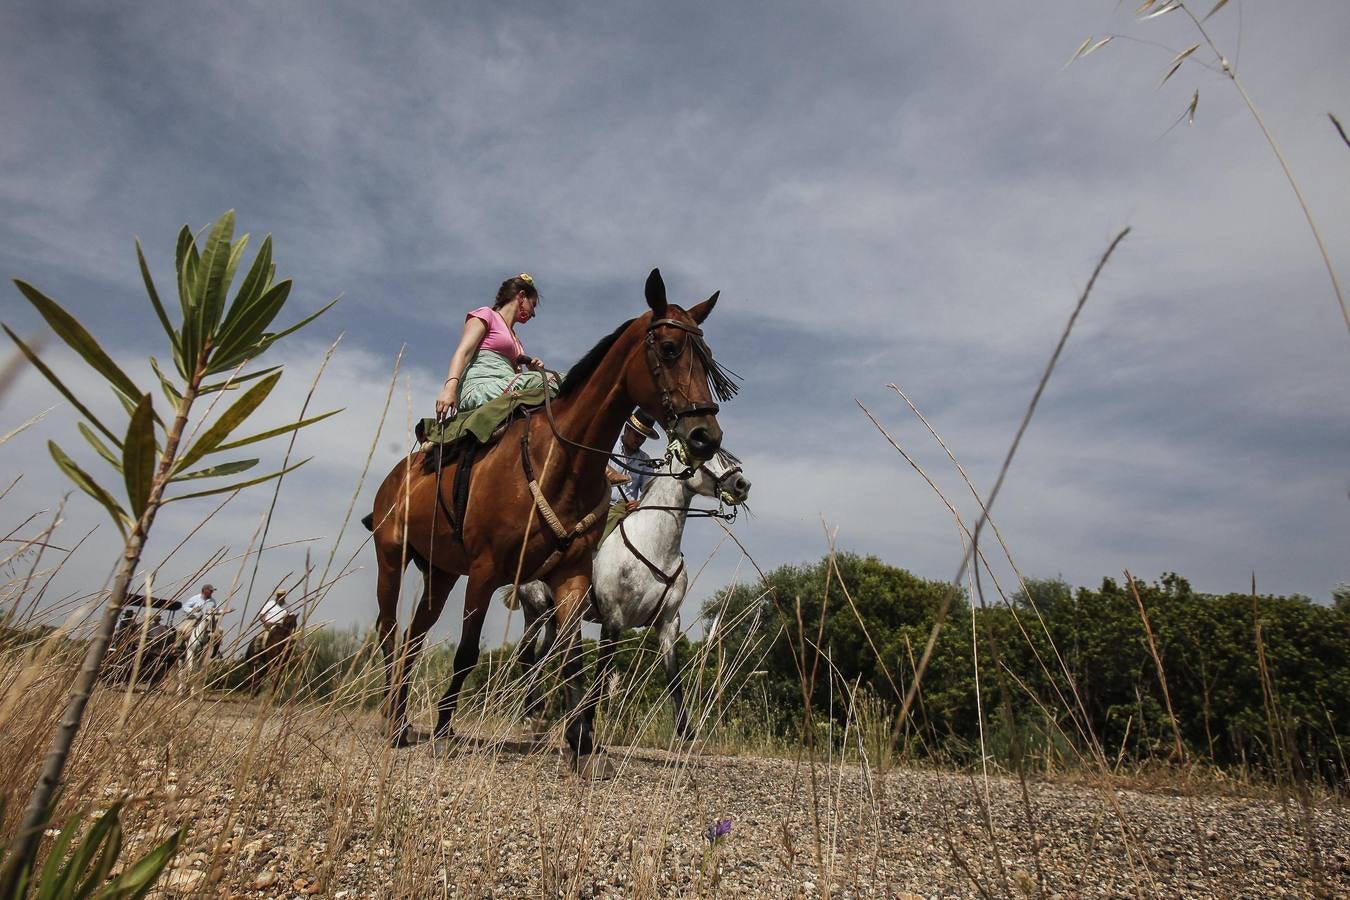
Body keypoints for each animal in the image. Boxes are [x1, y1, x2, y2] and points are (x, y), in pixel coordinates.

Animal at [510, 447, 756, 739]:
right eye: (708, 454)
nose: (742, 484)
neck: (655, 546)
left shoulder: (668, 623)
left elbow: (673, 677)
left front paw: (686, 733)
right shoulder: (612, 620)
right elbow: (602, 674)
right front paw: (588, 724)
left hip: (554, 618)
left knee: (540, 658)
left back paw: (538, 714)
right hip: (535, 609)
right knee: (525, 654)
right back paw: (530, 715)